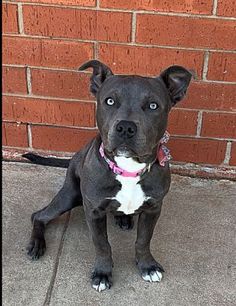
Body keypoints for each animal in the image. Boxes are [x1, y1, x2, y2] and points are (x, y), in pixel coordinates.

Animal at [24, 60, 193, 292]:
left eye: (153, 106)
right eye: (110, 101)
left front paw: (148, 266)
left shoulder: (153, 208)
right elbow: (102, 244)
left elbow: (144, 240)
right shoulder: (94, 211)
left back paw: (123, 218)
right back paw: (37, 244)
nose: (126, 127)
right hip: (69, 195)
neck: (128, 168)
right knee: (38, 216)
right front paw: (102, 274)